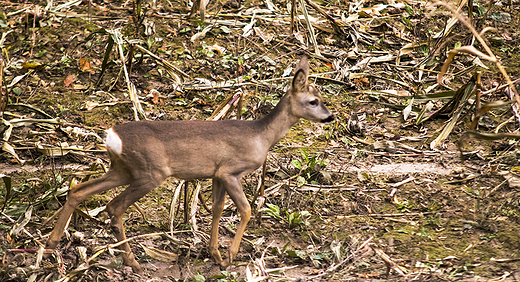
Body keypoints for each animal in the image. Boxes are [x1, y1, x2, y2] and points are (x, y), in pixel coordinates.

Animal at [46, 55, 336, 274]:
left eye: (321, 98)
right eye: (313, 101)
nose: (330, 117)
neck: (261, 136)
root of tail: (111, 137)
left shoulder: (216, 174)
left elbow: (217, 210)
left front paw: (215, 254)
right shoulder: (230, 171)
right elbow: (245, 210)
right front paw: (229, 256)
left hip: (122, 169)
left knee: (78, 190)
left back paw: (51, 243)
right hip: (150, 172)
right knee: (114, 207)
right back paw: (133, 263)